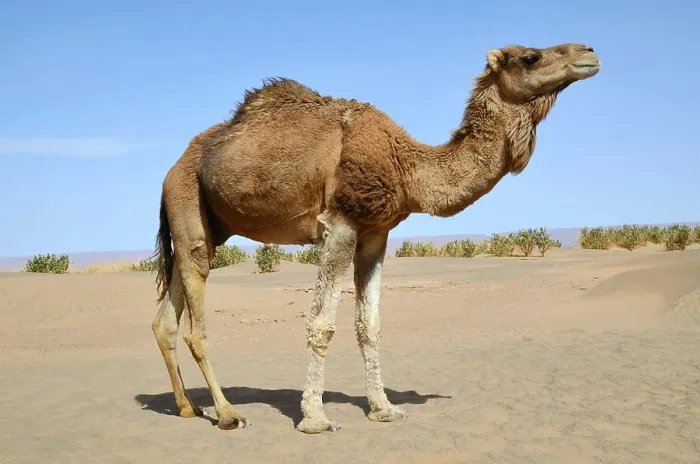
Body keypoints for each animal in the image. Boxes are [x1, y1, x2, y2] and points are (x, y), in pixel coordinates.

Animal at [150, 42, 600, 434]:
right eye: (531, 56)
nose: (589, 52)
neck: (406, 167)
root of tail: (171, 169)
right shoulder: (340, 224)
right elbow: (321, 325)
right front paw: (315, 418)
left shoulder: (375, 234)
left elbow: (370, 325)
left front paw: (384, 408)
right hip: (187, 200)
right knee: (194, 321)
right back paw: (228, 414)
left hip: (204, 226)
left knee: (166, 318)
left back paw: (188, 407)